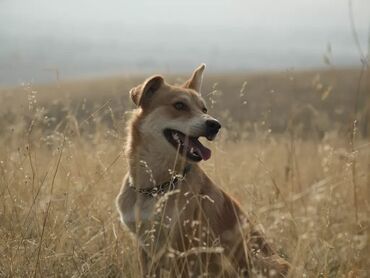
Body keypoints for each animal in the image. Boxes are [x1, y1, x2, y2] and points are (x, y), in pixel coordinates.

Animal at [115, 64, 290, 276]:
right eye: (179, 106)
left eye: (204, 109)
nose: (215, 125)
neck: (155, 187)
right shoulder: (145, 248)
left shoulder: (182, 250)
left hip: (265, 262)